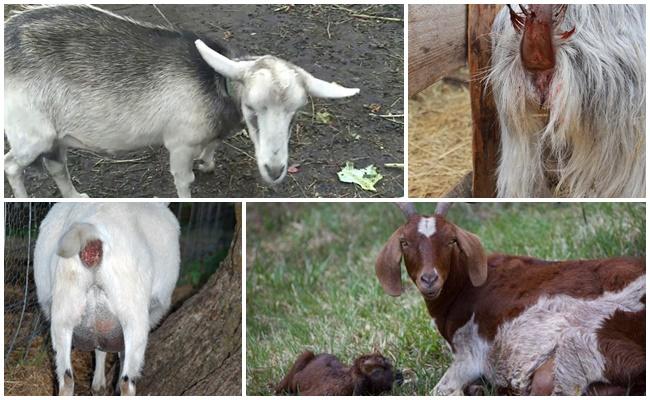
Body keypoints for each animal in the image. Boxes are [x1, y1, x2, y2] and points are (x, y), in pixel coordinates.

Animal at [4, 5, 359, 198]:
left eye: (295, 114)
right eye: (251, 109)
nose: (274, 170)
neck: (214, 85)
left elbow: (211, 149)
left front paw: (207, 163)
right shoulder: (179, 143)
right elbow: (184, 181)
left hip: (53, 135)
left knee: (56, 166)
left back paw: (76, 196)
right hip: (31, 134)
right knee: (11, 165)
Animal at [33, 203, 180, 395]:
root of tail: (91, 234)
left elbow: (100, 348)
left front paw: (98, 384)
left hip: (64, 309)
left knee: (66, 380)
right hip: (132, 314)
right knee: (127, 382)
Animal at [376, 203, 645, 395]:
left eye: (451, 240)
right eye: (404, 242)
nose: (429, 279)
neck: (464, 286)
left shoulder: (469, 353)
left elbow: (441, 389)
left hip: (579, 349)